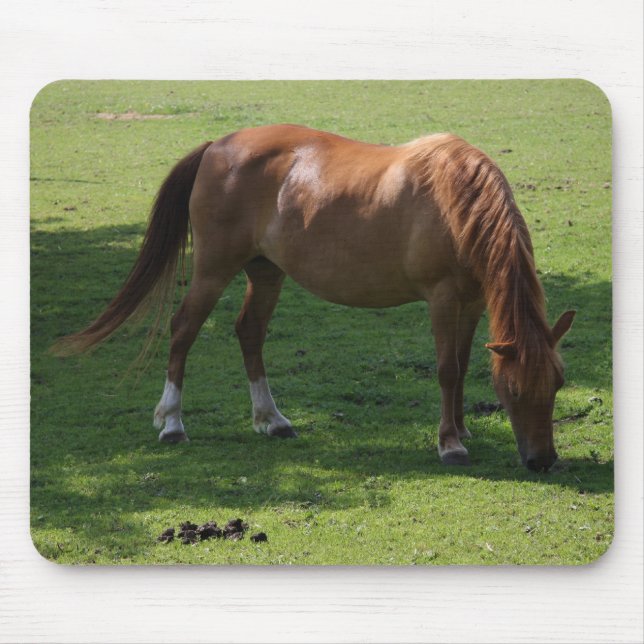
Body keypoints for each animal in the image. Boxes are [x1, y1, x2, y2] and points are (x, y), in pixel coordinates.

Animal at [54, 124, 575, 472]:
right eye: (513, 391)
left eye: (557, 383)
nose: (542, 460)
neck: (457, 200)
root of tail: (216, 147)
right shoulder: (443, 299)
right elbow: (447, 370)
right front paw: (450, 443)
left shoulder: (471, 301)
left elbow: (464, 367)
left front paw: (462, 428)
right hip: (213, 270)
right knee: (183, 330)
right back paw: (172, 424)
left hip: (266, 273)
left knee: (249, 333)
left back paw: (272, 419)